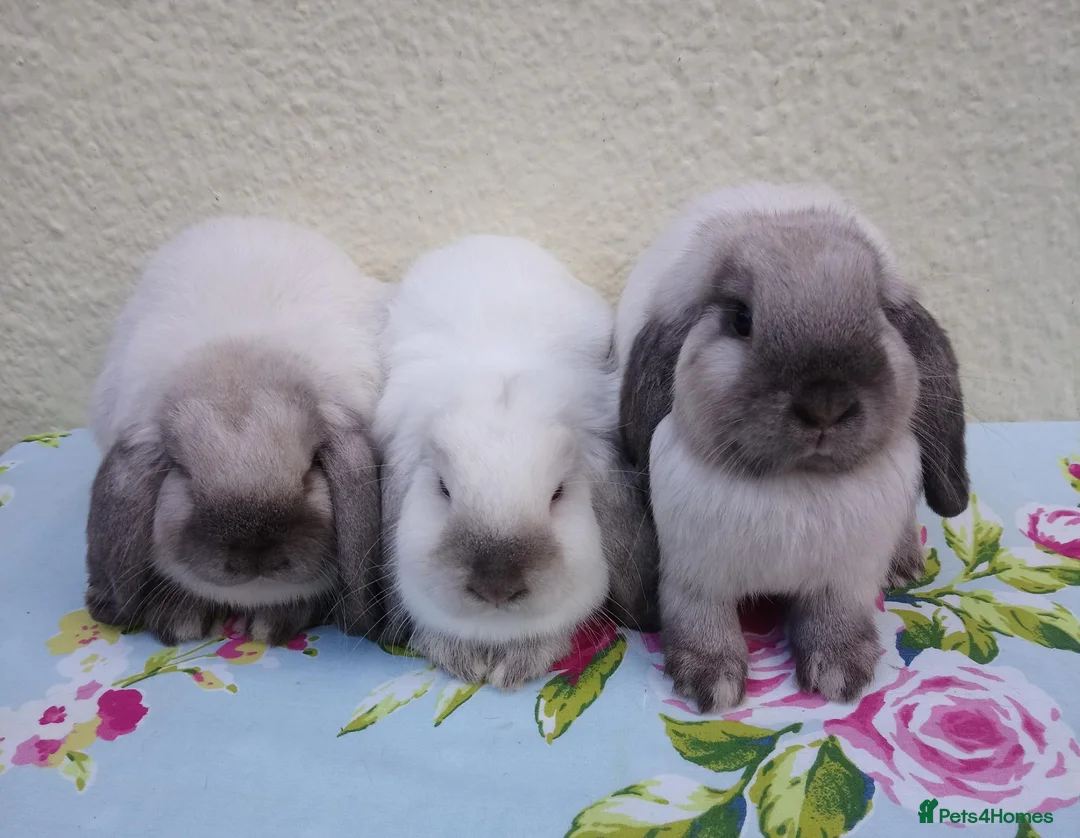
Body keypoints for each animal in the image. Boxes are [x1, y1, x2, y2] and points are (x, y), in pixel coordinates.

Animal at [616, 183, 969, 712]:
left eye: (879, 315)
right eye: (741, 318)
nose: (826, 403)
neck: (797, 485)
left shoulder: (844, 582)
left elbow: (833, 621)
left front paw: (841, 673)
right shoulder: (694, 577)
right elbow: (702, 622)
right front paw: (710, 682)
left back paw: (905, 564)